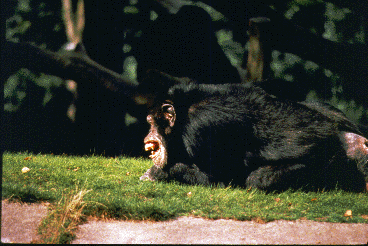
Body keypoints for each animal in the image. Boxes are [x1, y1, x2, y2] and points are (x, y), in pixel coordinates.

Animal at [139, 70, 368, 191]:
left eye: (150, 121)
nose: (147, 134)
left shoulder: (202, 127)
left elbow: (220, 180)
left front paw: (158, 173)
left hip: (325, 162)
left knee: (257, 181)